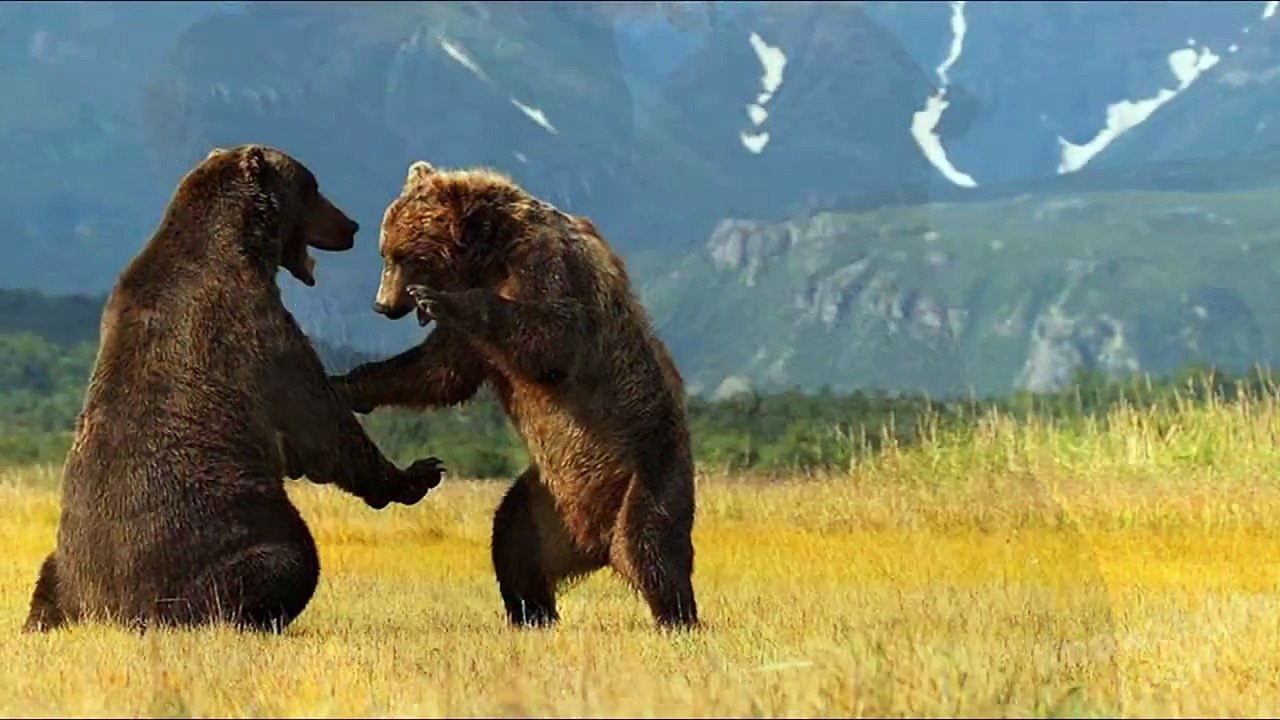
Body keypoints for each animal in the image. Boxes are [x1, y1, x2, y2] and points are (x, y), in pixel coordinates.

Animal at [22, 144, 445, 634]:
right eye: (312, 186)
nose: (351, 226)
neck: (242, 245)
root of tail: (102, 610)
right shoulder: (257, 330)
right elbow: (320, 424)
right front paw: (417, 474)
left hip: (64, 566)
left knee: (45, 575)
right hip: (222, 542)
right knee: (287, 559)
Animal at [331, 160, 699, 629]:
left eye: (404, 255)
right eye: (385, 252)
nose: (383, 305)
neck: (486, 254)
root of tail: (594, 541)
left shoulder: (544, 266)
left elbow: (551, 337)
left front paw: (441, 300)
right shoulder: (476, 339)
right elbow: (440, 370)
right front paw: (345, 384)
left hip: (650, 470)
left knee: (650, 545)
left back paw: (677, 618)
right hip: (547, 503)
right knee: (513, 539)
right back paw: (532, 612)